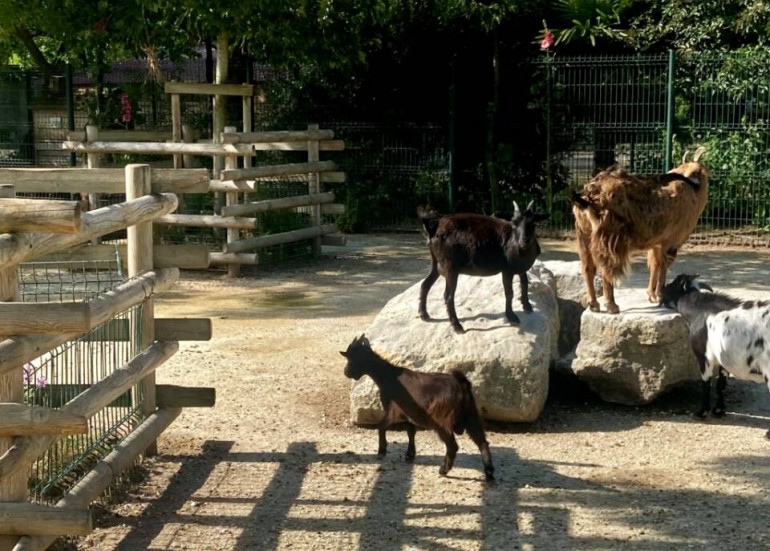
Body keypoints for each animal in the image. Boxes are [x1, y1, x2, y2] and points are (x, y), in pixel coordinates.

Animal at [340, 334, 496, 480]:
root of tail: (462, 386)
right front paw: (410, 455)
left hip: (442, 421)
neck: (389, 377)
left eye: (350, 359)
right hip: (471, 416)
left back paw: (443, 470)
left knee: (453, 446)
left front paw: (382, 451)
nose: (346, 372)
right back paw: (489, 473)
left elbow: (381, 426)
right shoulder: (409, 414)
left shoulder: (393, 411)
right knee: (482, 443)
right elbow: (411, 432)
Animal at [416, 202, 548, 334]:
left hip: (436, 264)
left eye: (533, 223)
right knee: (448, 296)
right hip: (450, 267)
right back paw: (457, 326)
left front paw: (527, 306)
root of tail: (433, 230)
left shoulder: (521, 268)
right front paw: (512, 317)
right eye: (514, 223)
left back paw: (424, 315)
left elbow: (524, 284)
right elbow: (509, 292)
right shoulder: (507, 270)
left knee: (425, 285)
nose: (524, 240)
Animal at [568, 147, 708, 314]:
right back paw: (611, 305)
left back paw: (593, 304)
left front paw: (652, 295)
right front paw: (660, 295)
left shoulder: (657, 242)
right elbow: (663, 265)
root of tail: (587, 197)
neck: (690, 186)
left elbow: (655, 264)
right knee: (606, 268)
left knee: (587, 267)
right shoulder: (672, 240)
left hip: (583, 233)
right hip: (609, 235)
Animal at [656, 274, 768, 436]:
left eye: (673, 284)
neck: (702, 311)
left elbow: (706, 382)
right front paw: (718, 411)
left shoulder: (703, 356)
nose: (661, 288)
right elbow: (721, 383)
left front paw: (701, 412)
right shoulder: (723, 359)